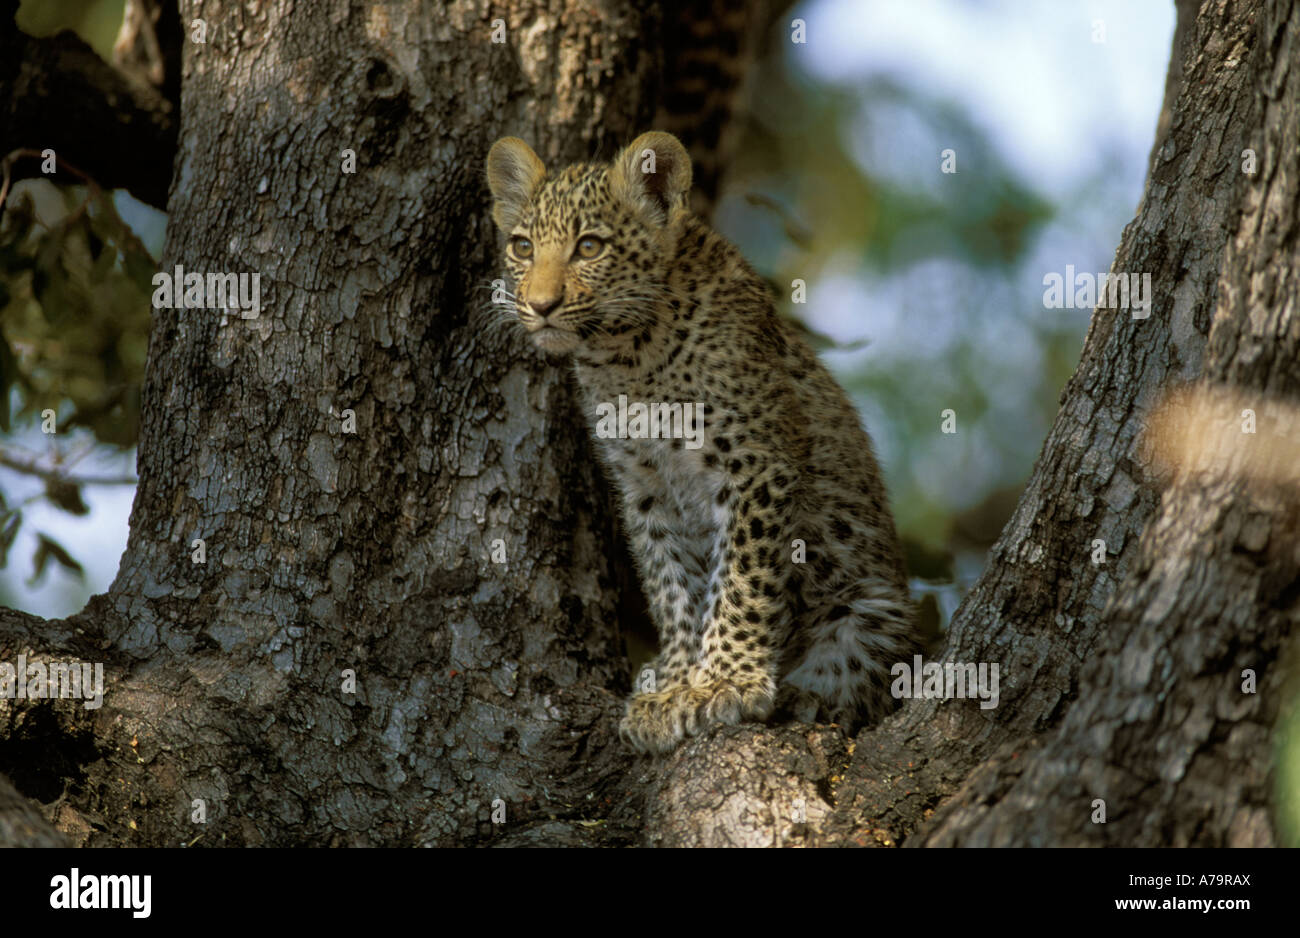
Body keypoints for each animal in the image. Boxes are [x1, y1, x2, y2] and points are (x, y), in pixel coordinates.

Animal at [485, 131, 919, 755]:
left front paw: (726, 682)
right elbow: (671, 583)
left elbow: (740, 579)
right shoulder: (645, 486)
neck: (626, 360)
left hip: (871, 609)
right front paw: (674, 685)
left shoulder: (755, 468)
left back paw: (806, 698)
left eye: (589, 246)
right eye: (522, 247)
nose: (540, 306)